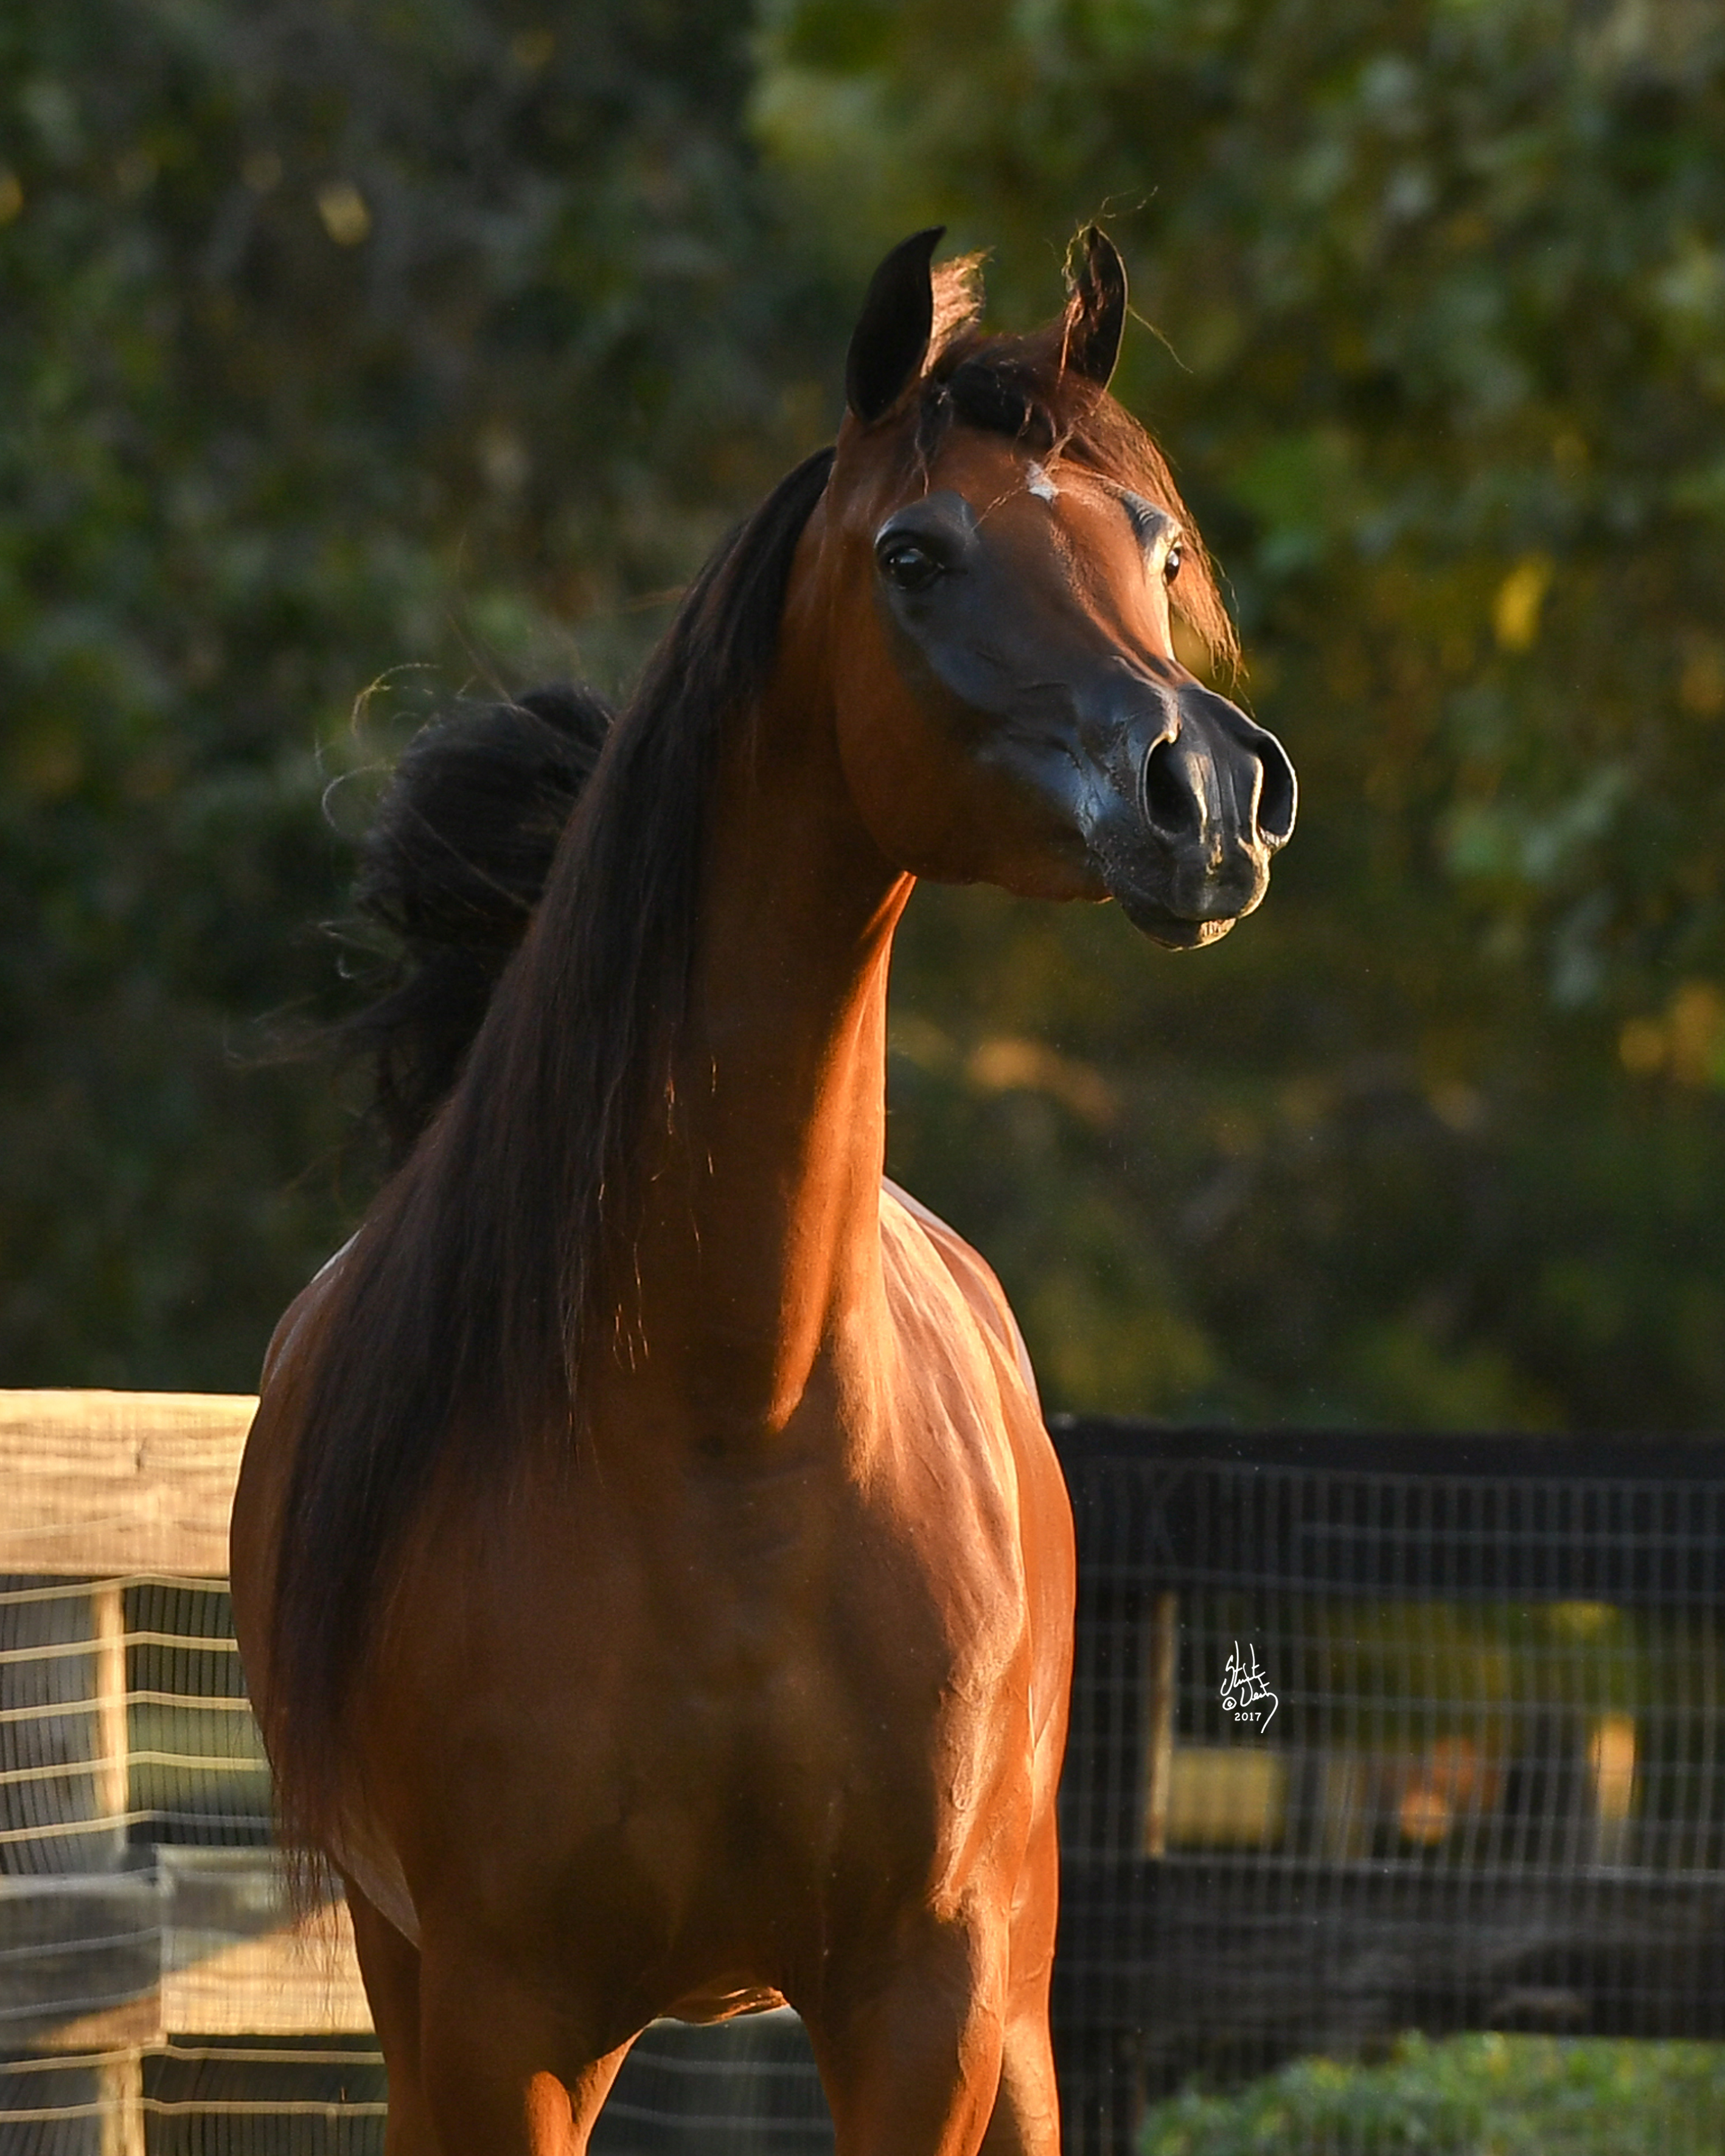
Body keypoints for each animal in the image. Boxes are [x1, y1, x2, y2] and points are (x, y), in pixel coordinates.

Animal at [229, 226, 1295, 2156]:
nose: (1210, 795)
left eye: (1157, 549)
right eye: (914, 554)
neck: (734, 1418)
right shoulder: (506, 2016)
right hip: (426, 1992)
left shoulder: (921, 2003)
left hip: (1016, 1994)